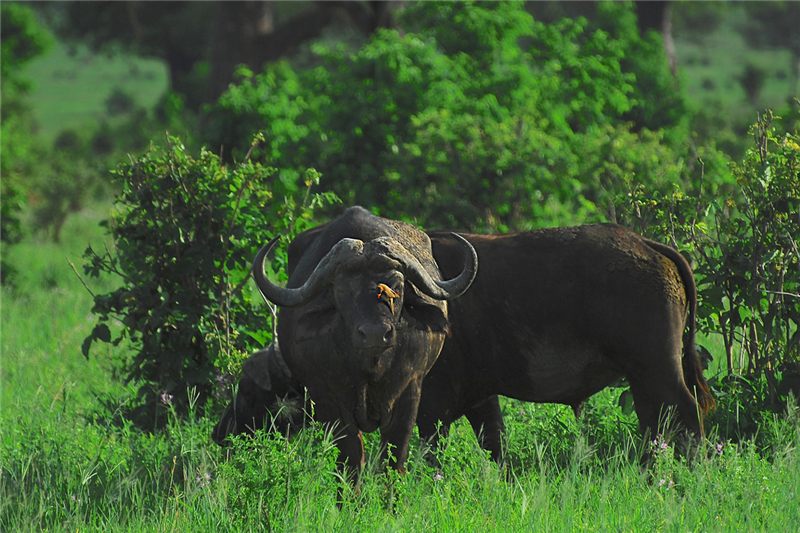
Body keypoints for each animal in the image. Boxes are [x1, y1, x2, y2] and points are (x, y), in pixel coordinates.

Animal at [251, 206, 477, 477]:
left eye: (397, 285)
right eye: (341, 290)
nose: (375, 334)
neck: (372, 365)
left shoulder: (410, 389)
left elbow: (394, 455)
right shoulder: (328, 397)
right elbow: (351, 455)